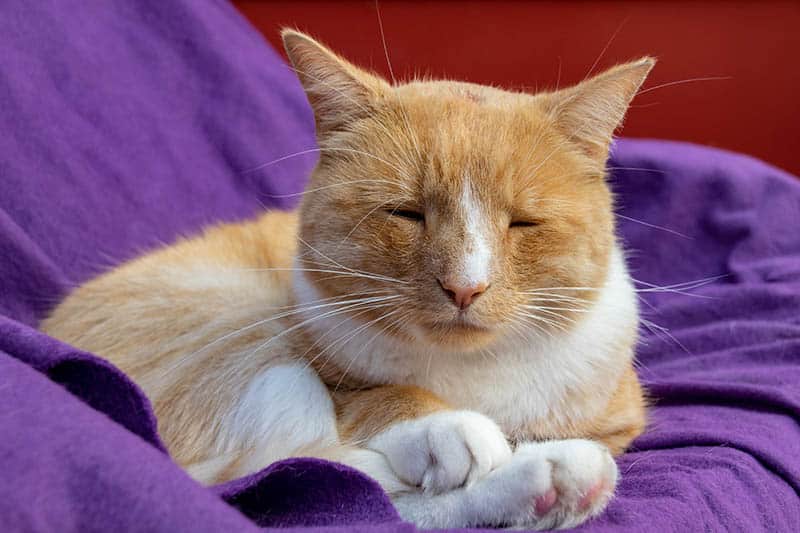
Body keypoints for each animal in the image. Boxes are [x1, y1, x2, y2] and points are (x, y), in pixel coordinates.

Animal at [40, 31, 652, 528]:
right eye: (407, 213)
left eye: (523, 222)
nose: (465, 287)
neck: (469, 374)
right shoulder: (308, 357)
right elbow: (365, 406)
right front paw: (445, 427)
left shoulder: (616, 421)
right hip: (240, 335)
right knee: (311, 475)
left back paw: (556, 481)